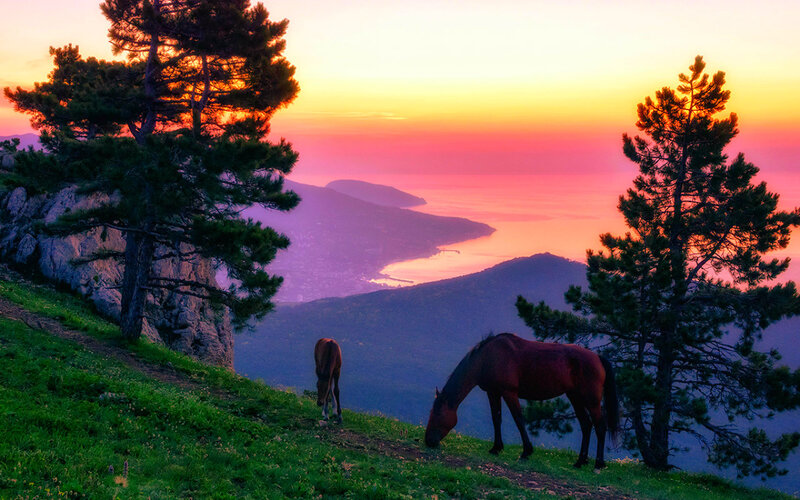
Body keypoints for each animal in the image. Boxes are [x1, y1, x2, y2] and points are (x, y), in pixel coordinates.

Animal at [424, 333, 619, 469]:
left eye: (437, 414)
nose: (428, 441)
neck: (487, 358)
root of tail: (597, 358)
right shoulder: (493, 393)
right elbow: (496, 419)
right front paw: (496, 448)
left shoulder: (509, 392)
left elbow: (518, 419)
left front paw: (526, 452)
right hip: (575, 397)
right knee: (586, 425)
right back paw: (580, 461)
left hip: (591, 400)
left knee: (600, 426)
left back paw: (598, 463)